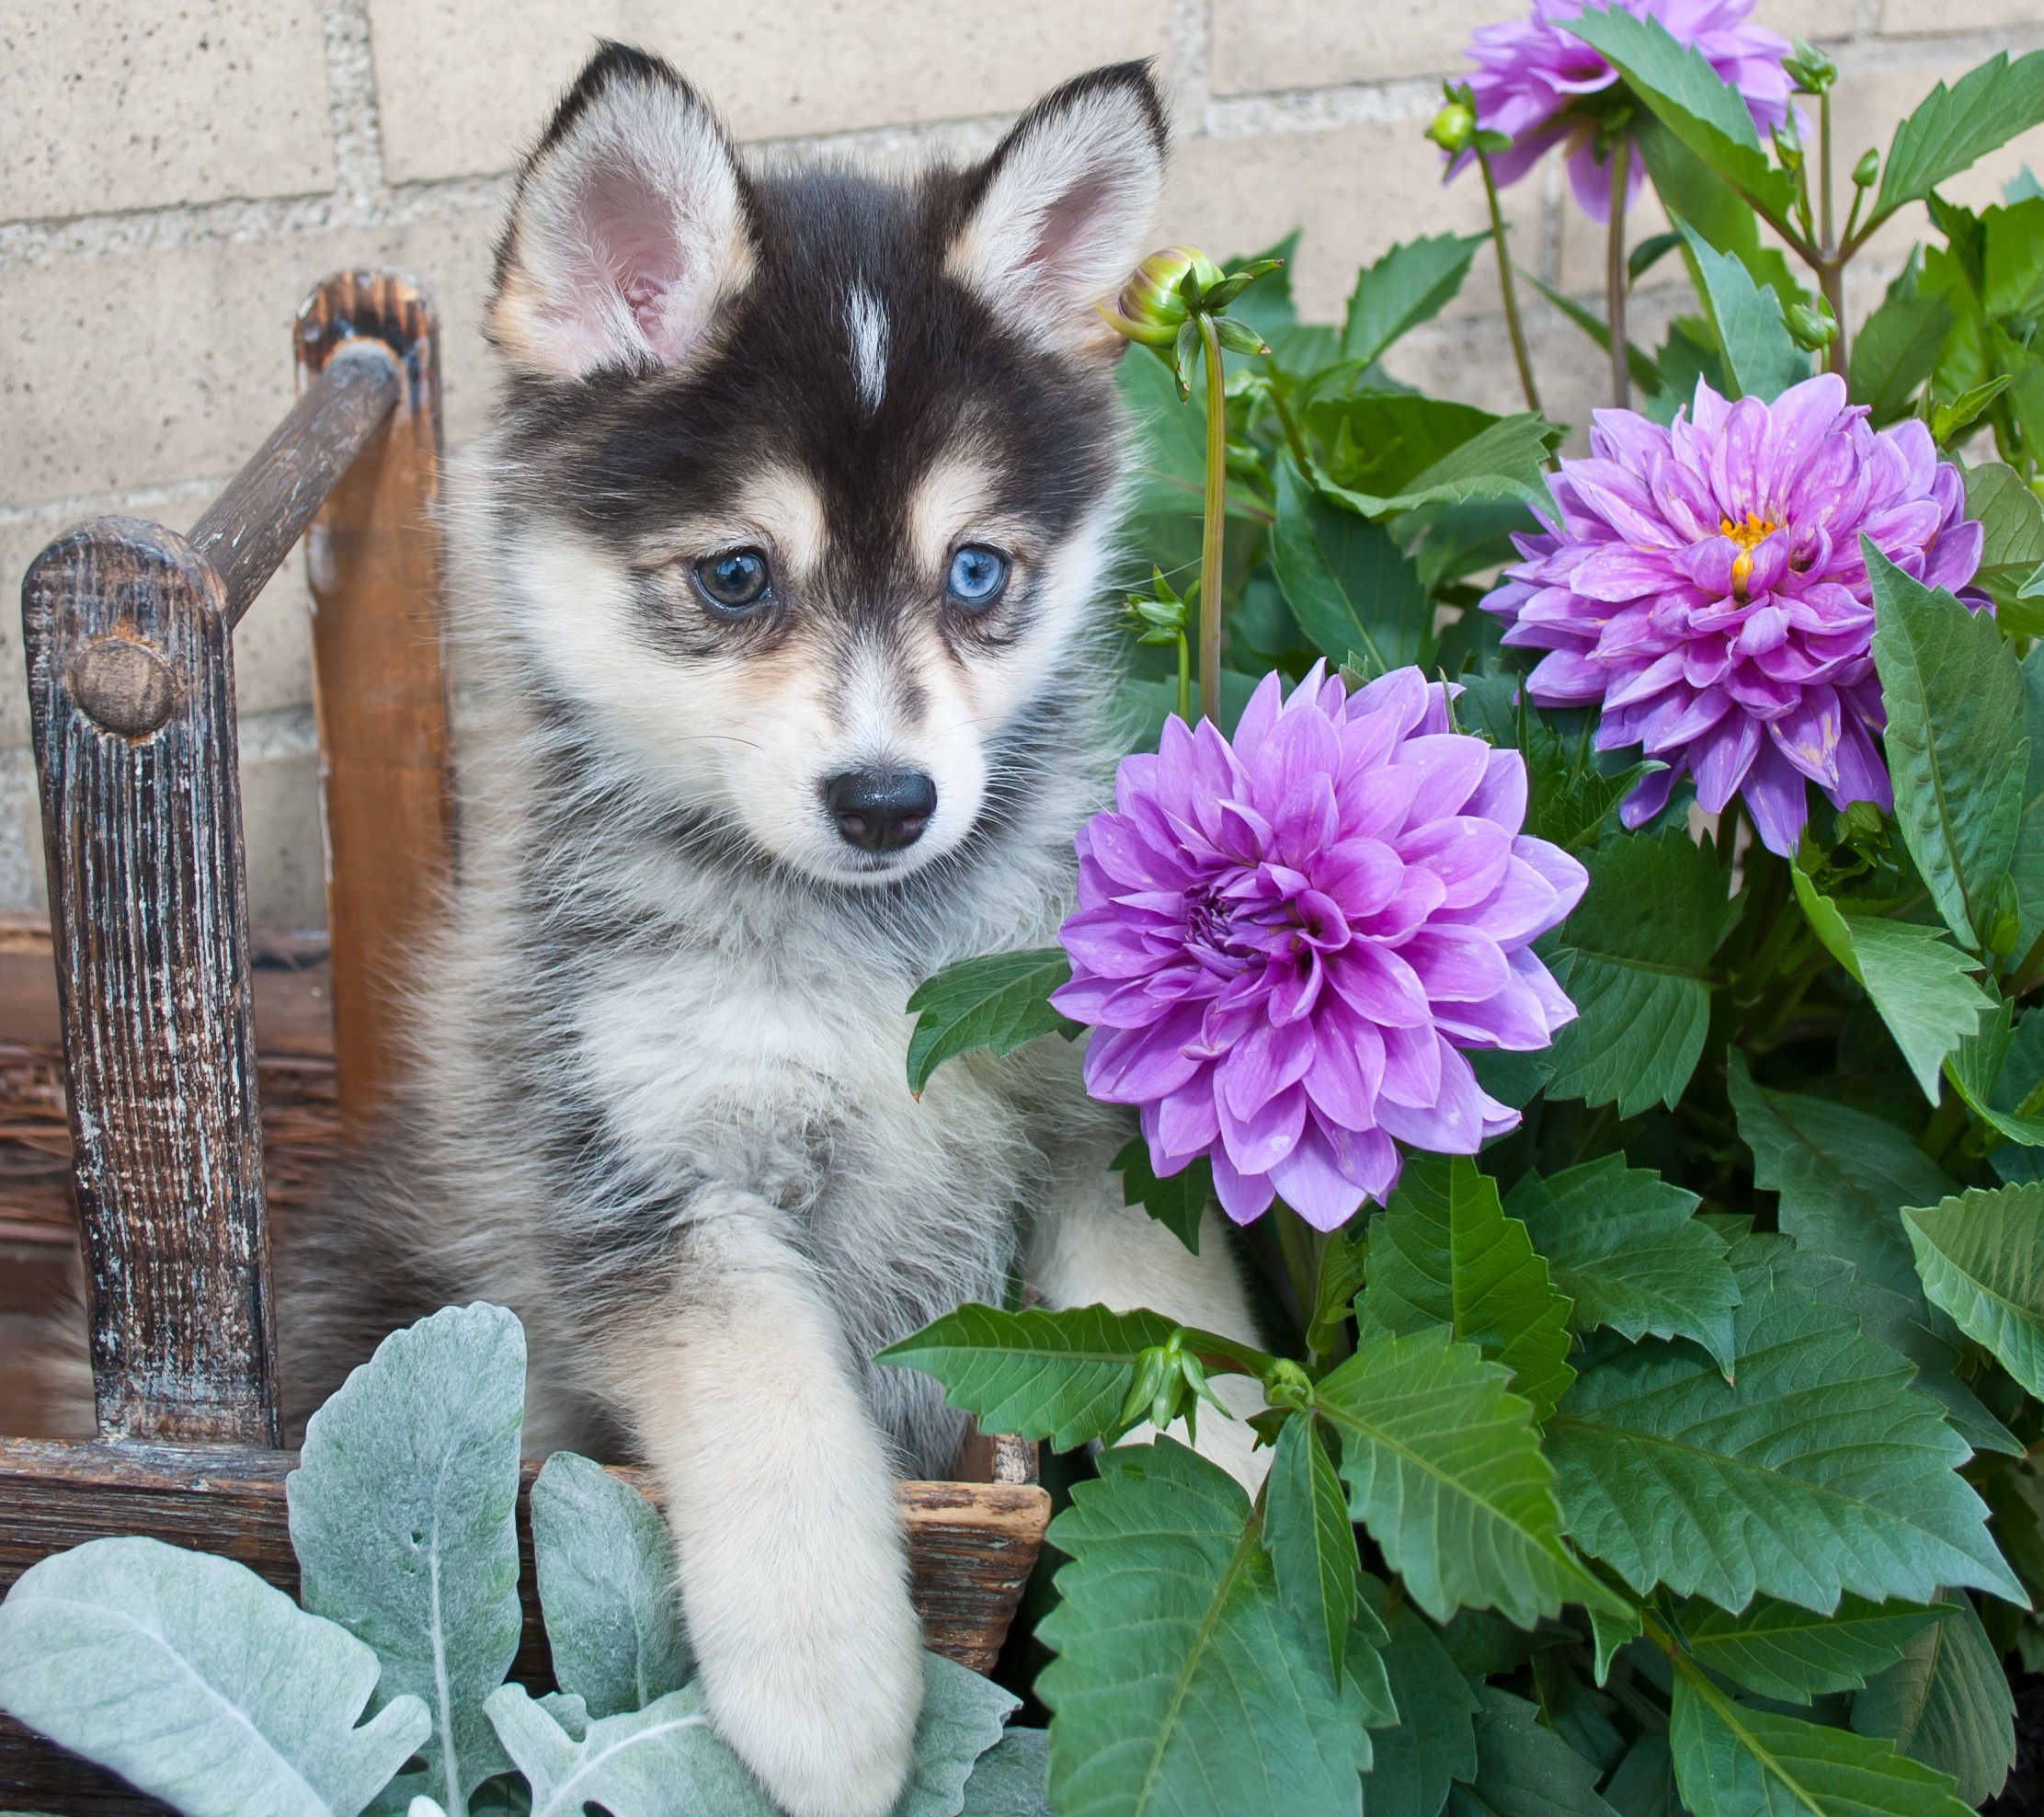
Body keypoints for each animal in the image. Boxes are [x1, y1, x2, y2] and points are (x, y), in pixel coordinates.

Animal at [271, 46, 1259, 1814]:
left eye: (976, 571)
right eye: (736, 576)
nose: (884, 801)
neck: (869, 961)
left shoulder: (1091, 1116)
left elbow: (1174, 1319)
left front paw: (1259, 1492)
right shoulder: (653, 1179)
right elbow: (775, 1407)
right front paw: (832, 1699)